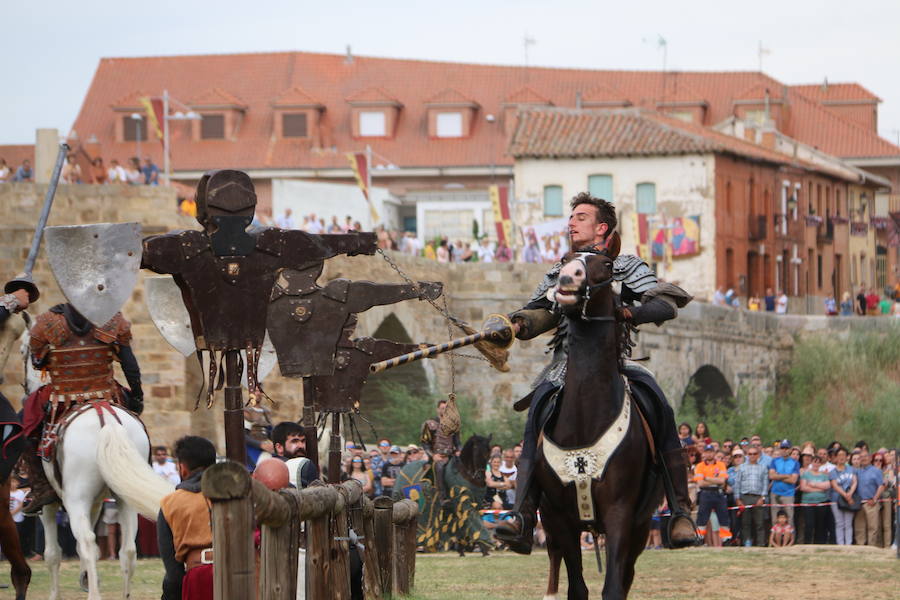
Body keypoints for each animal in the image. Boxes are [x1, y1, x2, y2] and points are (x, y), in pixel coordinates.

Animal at [20, 328, 175, 600]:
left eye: (23, 350)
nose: (25, 386)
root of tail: (107, 420)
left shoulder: (50, 506)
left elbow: (53, 554)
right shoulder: (95, 503)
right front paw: (84, 577)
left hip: (76, 498)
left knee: (88, 543)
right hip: (123, 498)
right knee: (127, 550)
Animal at [536, 251, 660, 596]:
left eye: (605, 264)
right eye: (564, 258)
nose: (568, 277)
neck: (585, 418)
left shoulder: (621, 513)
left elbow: (614, 587)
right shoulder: (560, 517)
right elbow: (577, 587)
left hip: (640, 527)